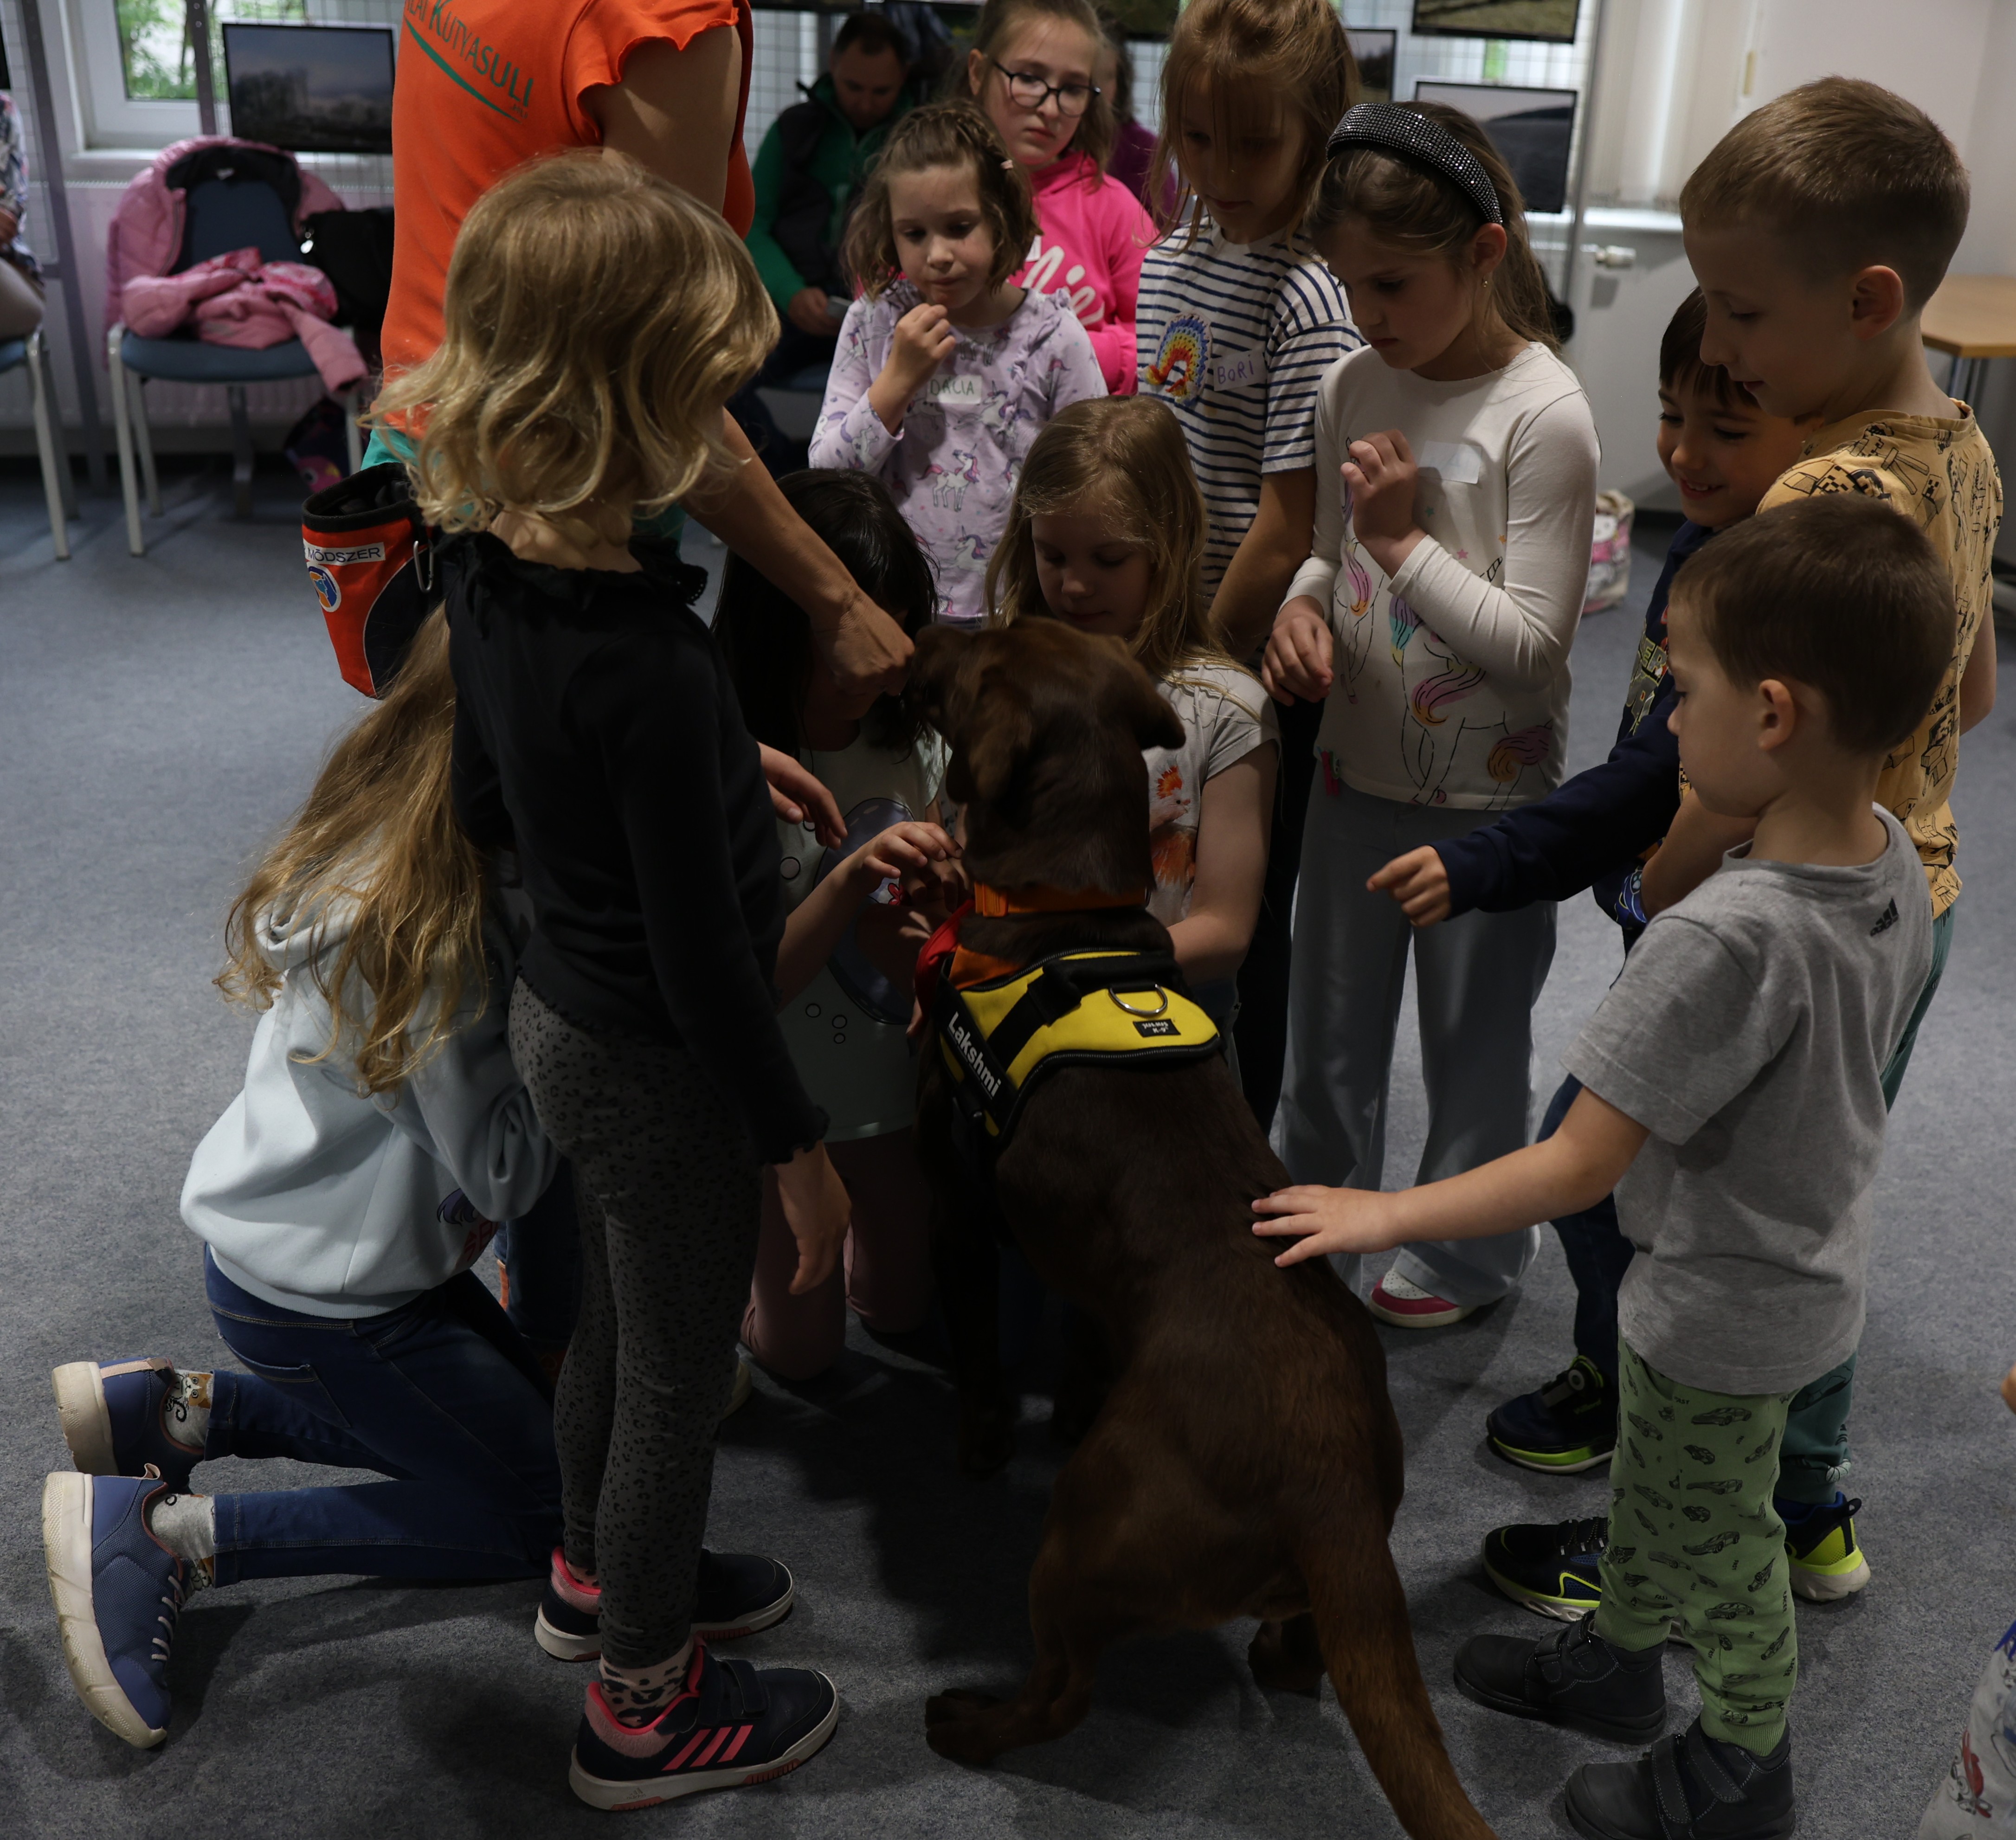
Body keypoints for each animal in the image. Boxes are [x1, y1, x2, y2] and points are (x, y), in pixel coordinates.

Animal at [908, 621, 1496, 1840]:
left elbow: (977, 1347)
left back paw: (969, 1724)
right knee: (1301, 1649)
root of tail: (1333, 1492)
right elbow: (1079, 1341)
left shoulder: (952, 1187)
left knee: (1063, 1692)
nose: (922, 631)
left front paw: (982, 1436)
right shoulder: (1080, 1274)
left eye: (982, 646)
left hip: (1086, 1533)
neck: (1061, 906)